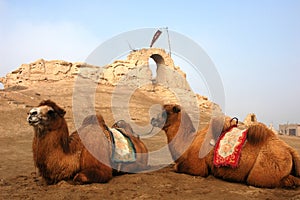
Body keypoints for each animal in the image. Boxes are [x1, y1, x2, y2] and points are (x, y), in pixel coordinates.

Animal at [151, 104, 300, 188]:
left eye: (167, 112)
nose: (152, 119)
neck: (188, 142)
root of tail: (290, 150)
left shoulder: (197, 168)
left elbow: (177, 167)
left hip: (261, 173)